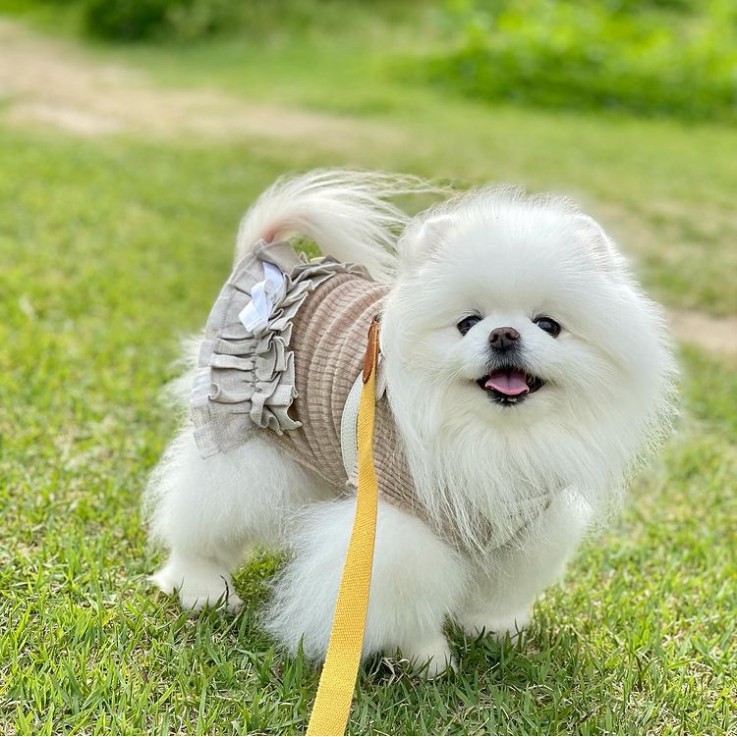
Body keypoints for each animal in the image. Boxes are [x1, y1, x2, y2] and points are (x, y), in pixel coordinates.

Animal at [145, 170, 680, 676]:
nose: (504, 334)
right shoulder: (399, 528)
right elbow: (403, 599)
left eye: (549, 325)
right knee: (205, 514)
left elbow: (500, 589)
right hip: (243, 443)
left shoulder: (525, 525)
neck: (491, 436)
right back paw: (201, 587)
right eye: (468, 323)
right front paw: (426, 657)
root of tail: (273, 260)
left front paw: (495, 628)